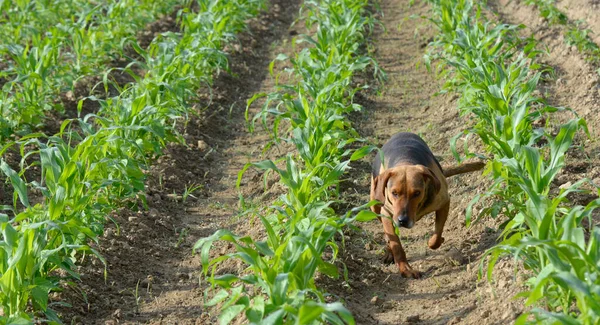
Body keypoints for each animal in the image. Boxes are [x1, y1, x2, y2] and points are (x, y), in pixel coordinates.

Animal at [368, 130, 486, 278]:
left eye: (417, 193)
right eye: (394, 193)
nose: (402, 220)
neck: (405, 160)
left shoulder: (444, 201)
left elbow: (437, 234)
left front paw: (434, 241)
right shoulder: (387, 213)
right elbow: (396, 244)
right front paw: (406, 269)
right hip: (375, 205)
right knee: (387, 234)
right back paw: (389, 253)